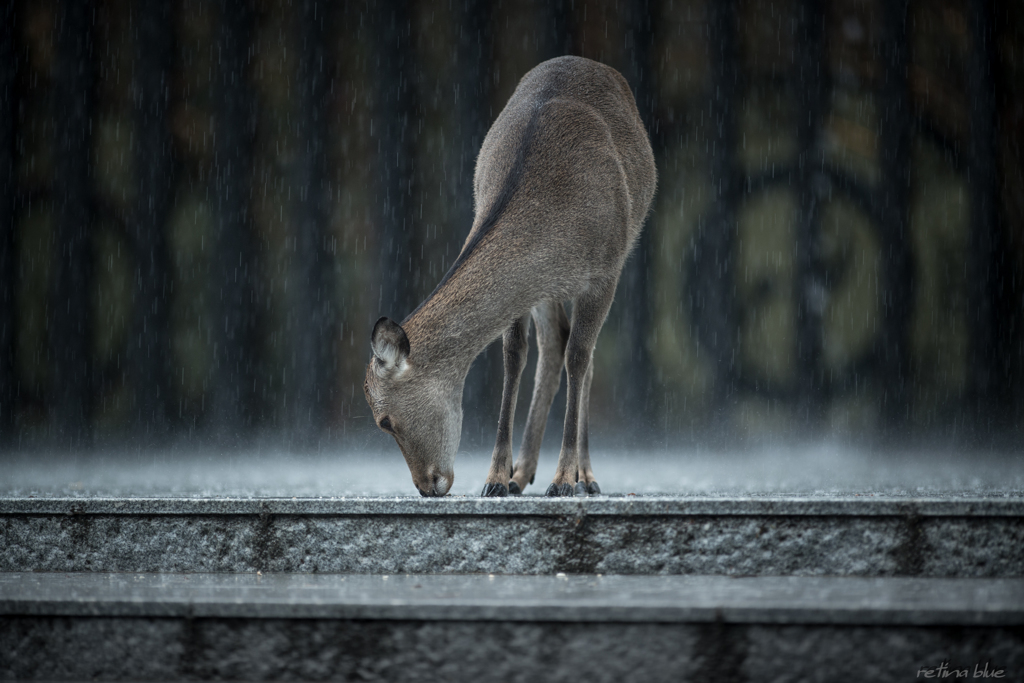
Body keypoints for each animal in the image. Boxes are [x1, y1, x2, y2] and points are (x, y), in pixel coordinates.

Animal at [364, 54, 659, 497]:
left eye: (384, 421)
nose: (427, 485)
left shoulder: (604, 272)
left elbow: (579, 358)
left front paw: (564, 479)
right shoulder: (530, 287)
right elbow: (513, 356)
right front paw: (496, 478)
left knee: (581, 355)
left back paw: (585, 476)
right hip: (544, 291)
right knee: (554, 342)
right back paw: (523, 473)